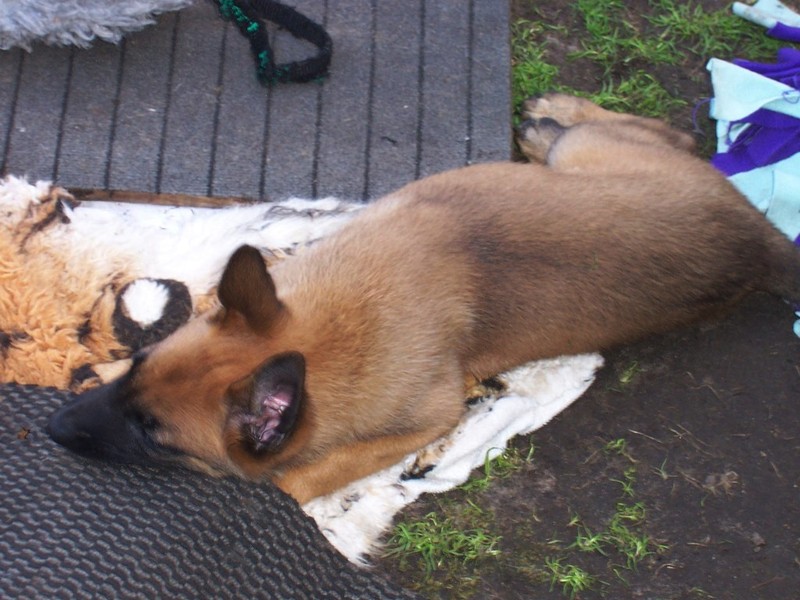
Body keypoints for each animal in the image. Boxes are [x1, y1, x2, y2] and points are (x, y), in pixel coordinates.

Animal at [48, 94, 800, 504]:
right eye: (139, 368)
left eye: (153, 436)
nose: (54, 427)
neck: (330, 326)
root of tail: (762, 242)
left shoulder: (430, 414)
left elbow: (288, 481)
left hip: (593, 154)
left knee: (665, 132)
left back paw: (552, 117)